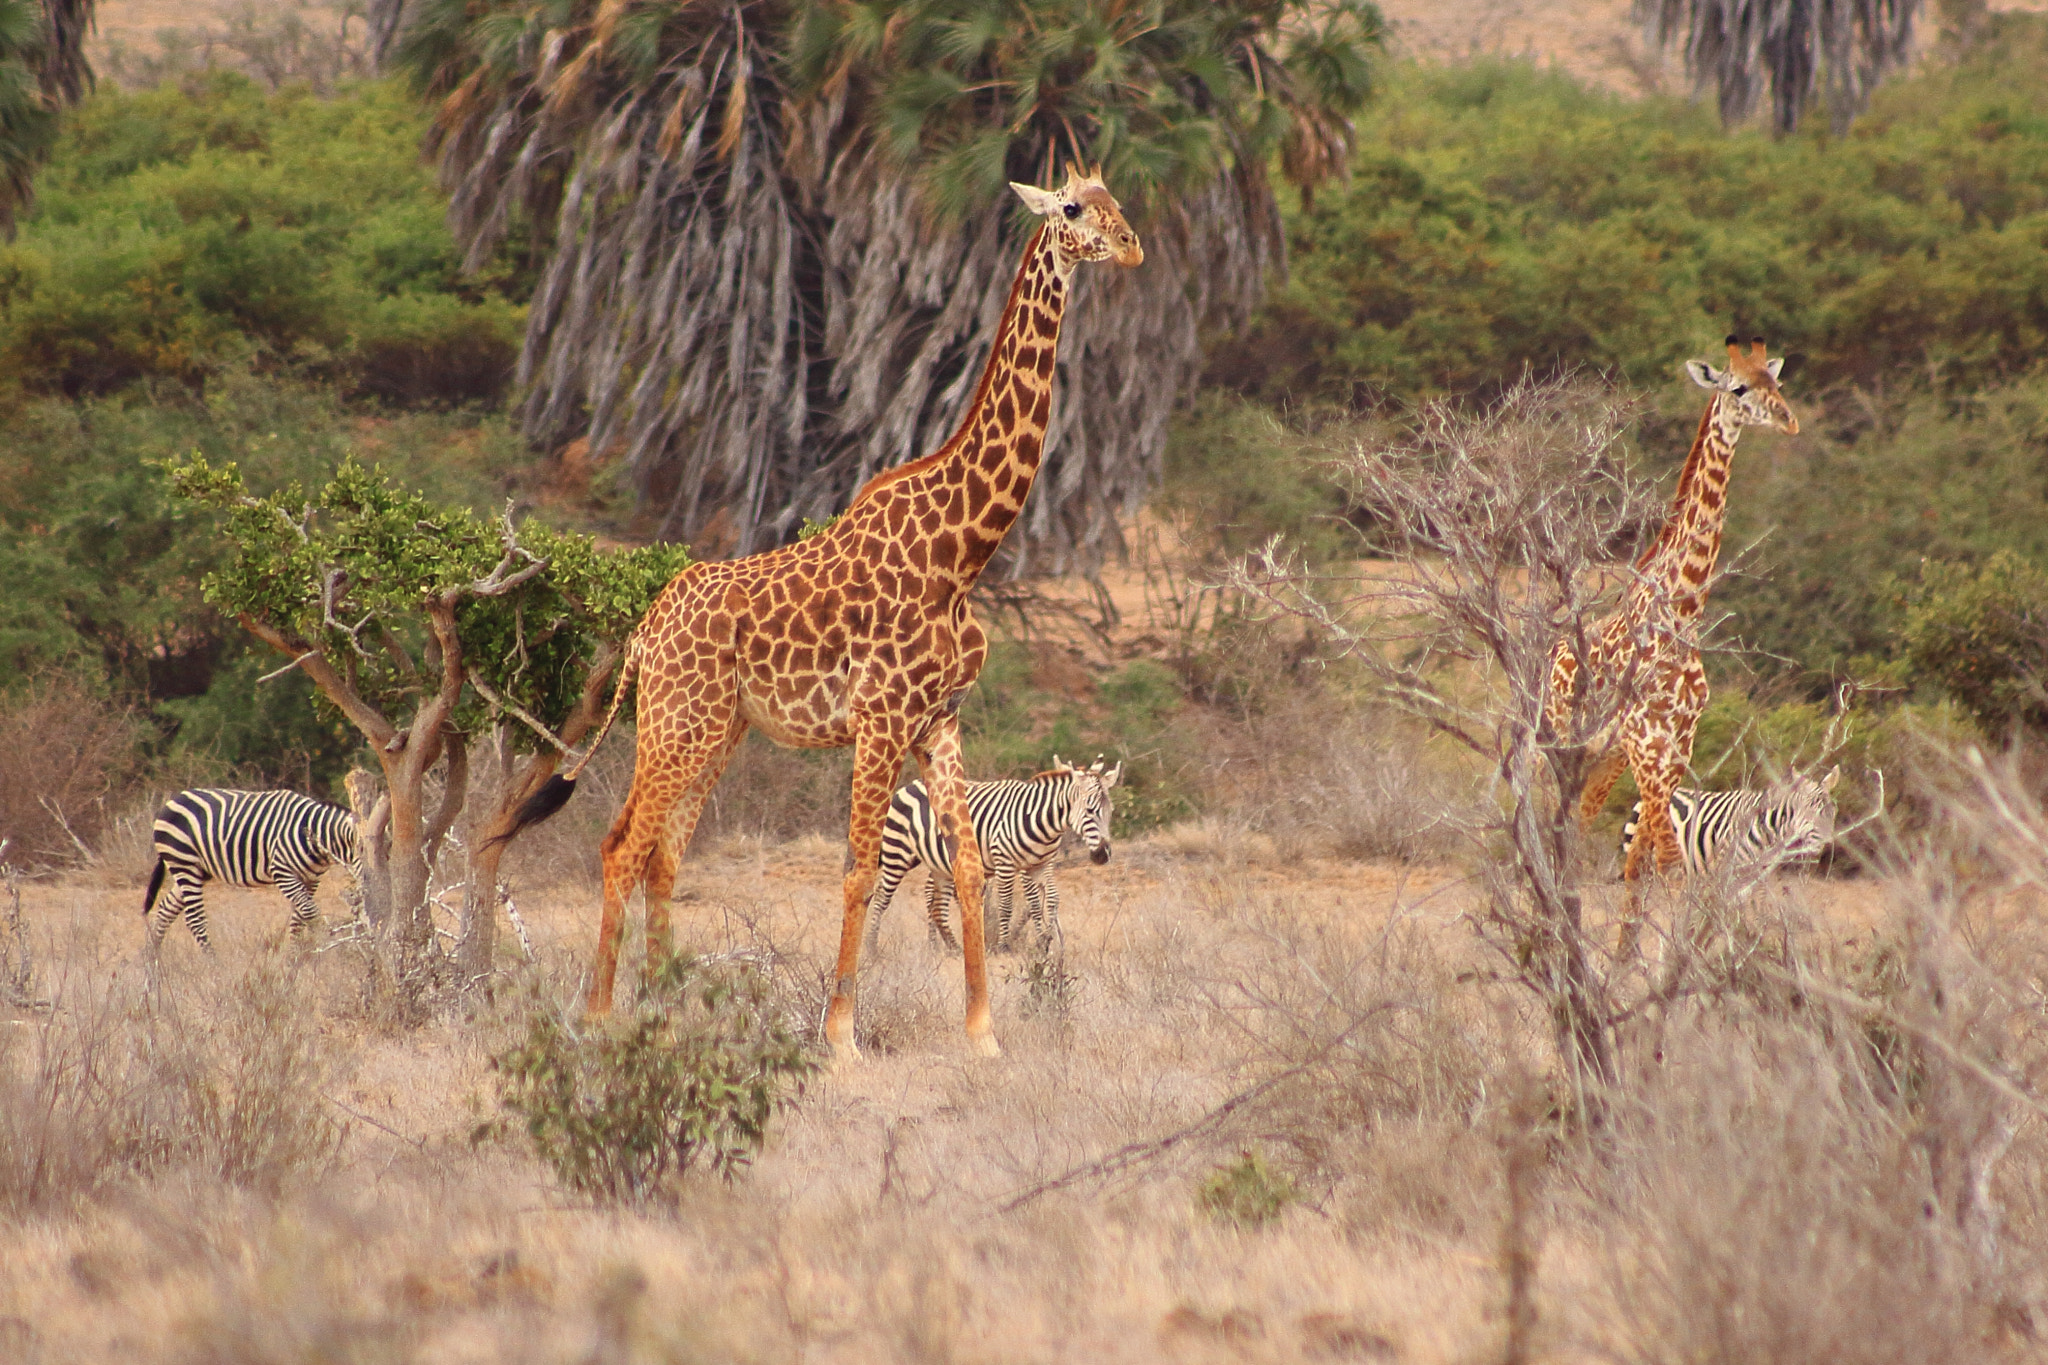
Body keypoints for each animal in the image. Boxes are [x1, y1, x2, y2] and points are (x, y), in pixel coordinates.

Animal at [143, 789, 364, 949]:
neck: (316, 836)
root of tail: (171, 801)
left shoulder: (311, 878)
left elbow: (300, 918)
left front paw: (296, 958)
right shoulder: (282, 872)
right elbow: (310, 912)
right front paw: (327, 948)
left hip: (197, 870)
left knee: (166, 909)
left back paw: (153, 965)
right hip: (183, 862)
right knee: (195, 920)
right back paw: (214, 966)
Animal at [860, 757, 1122, 961]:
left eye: (1111, 812)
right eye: (1090, 811)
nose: (1103, 855)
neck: (1042, 822)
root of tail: (910, 784)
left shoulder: (1039, 865)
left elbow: (1045, 902)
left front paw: (1044, 943)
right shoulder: (1006, 862)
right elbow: (1007, 905)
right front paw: (1004, 947)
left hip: (939, 864)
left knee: (936, 906)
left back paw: (954, 949)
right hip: (897, 852)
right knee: (882, 898)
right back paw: (872, 948)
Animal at [1548, 335, 1794, 945]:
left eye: (1778, 383)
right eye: (1738, 388)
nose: (1790, 421)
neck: (1683, 610)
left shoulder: (1677, 742)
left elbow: (1645, 861)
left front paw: (1631, 960)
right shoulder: (1645, 738)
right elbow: (1666, 859)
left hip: (1606, 757)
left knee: (1579, 830)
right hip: (1564, 744)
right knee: (1549, 830)